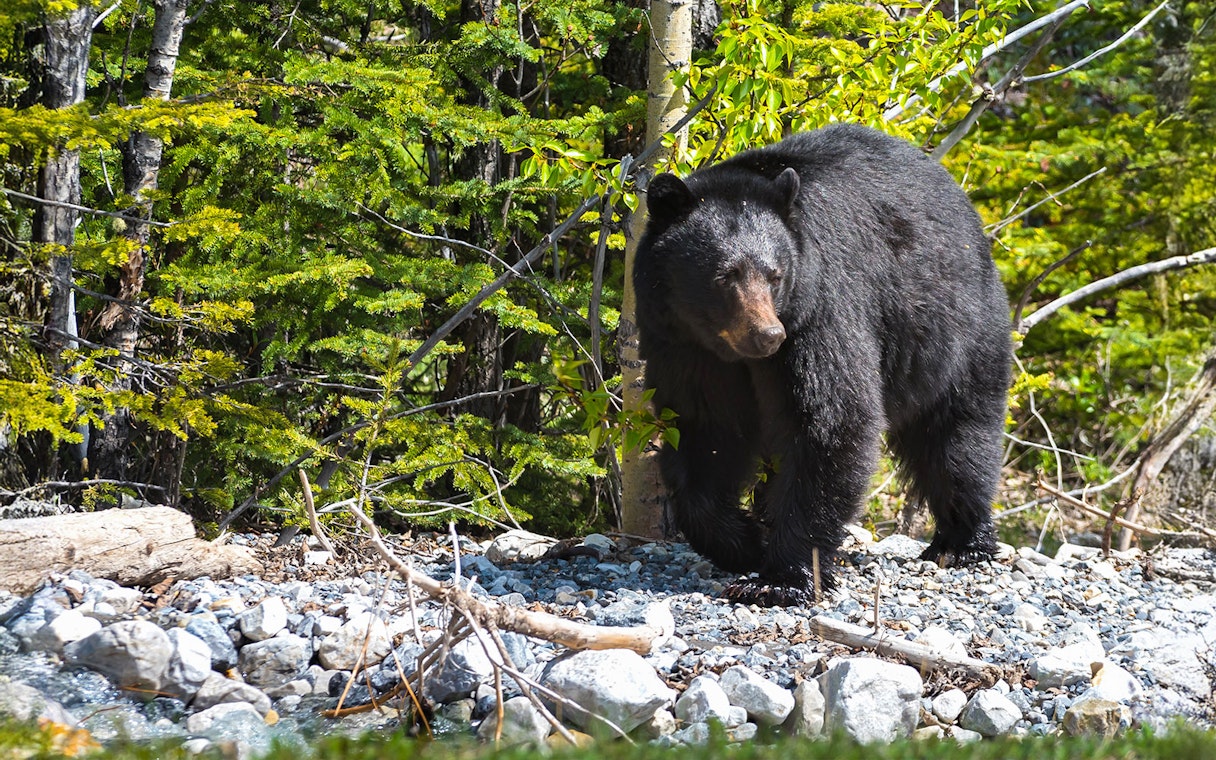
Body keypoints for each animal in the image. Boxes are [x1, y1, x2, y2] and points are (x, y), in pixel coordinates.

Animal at [633, 123, 1011, 607]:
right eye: (725, 275)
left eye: (775, 275)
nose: (768, 335)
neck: (730, 351)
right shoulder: (685, 345)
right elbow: (706, 430)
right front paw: (745, 542)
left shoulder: (819, 312)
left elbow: (830, 421)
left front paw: (783, 577)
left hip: (957, 330)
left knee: (958, 436)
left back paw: (962, 542)